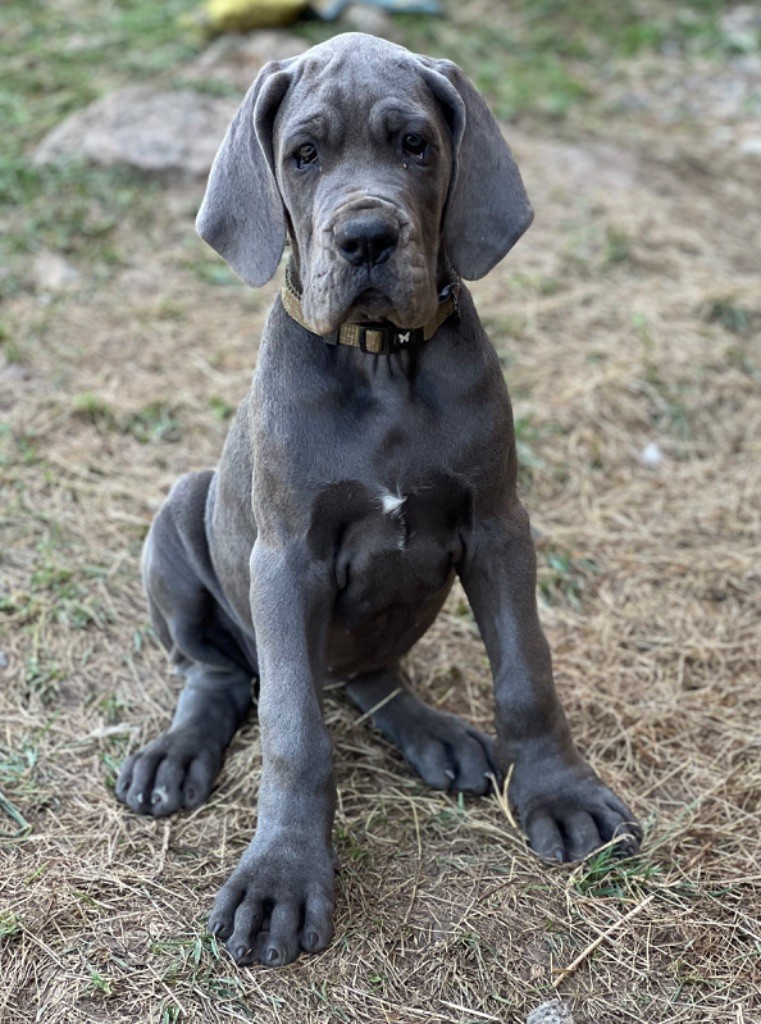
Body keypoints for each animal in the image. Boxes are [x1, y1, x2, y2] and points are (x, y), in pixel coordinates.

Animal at [116, 32, 643, 966]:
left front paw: (559, 793)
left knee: (372, 675)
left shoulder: (499, 526)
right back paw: (175, 754)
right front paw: (282, 876)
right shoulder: (285, 561)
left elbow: (527, 672)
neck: (380, 362)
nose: (364, 236)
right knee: (220, 674)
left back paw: (435, 734)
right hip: (183, 512)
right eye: (303, 154)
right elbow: (294, 733)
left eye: (415, 145)